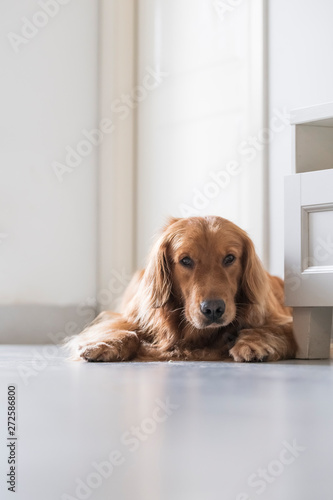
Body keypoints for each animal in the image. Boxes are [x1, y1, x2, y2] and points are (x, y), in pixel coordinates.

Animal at [67, 217, 296, 362]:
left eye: (230, 258)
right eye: (186, 260)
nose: (213, 309)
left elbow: (269, 328)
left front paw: (253, 343)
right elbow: (126, 330)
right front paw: (105, 344)